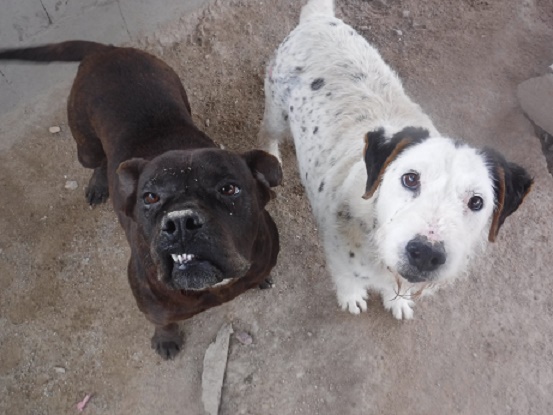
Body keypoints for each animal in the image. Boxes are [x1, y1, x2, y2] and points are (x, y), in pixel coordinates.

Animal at [0, 41, 282, 358]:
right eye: (150, 197)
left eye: (229, 189)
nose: (180, 222)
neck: (213, 288)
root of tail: (107, 50)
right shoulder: (153, 307)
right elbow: (164, 322)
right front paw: (166, 339)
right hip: (86, 147)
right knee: (97, 160)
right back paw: (99, 183)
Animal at [259, 0, 533, 319]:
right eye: (410, 178)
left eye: (476, 202)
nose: (426, 254)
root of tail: (319, 19)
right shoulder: (338, 255)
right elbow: (346, 279)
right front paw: (352, 297)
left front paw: (397, 301)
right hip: (277, 112)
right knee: (266, 133)